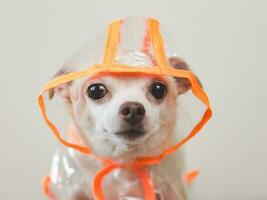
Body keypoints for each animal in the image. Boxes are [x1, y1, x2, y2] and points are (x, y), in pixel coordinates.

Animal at [48, 56, 195, 200]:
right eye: (95, 90)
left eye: (158, 89)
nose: (133, 109)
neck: (124, 163)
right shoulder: (73, 190)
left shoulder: (172, 188)